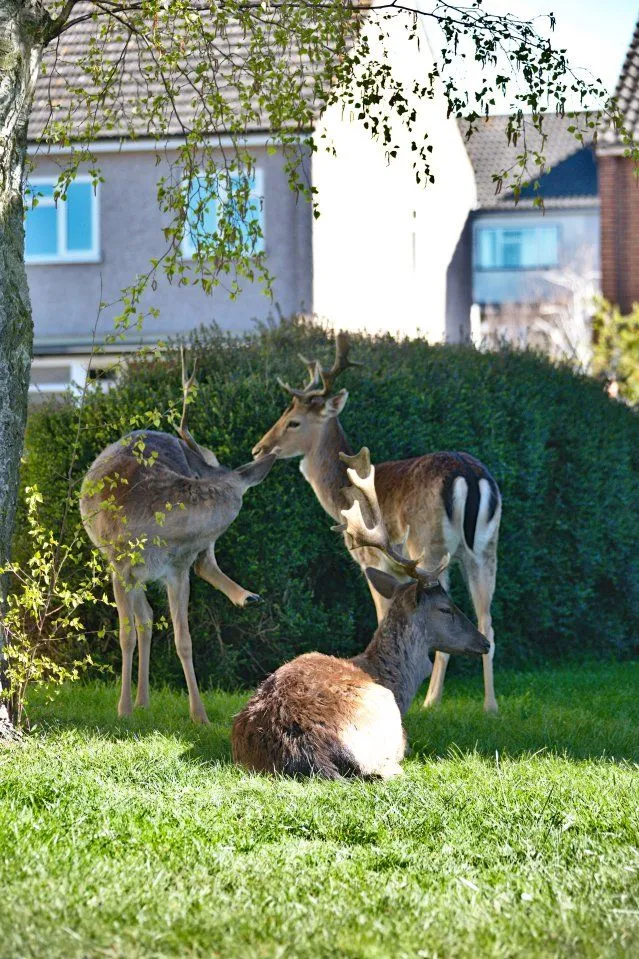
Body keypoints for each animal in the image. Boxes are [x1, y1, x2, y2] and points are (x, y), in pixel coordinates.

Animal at [80, 350, 276, 720]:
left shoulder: (177, 569)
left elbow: (184, 640)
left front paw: (199, 714)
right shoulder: (120, 565)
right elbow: (126, 633)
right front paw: (122, 709)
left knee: (190, 577)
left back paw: (245, 596)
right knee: (144, 619)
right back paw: (138, 702)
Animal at [252, 332, 502, 712]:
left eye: (293, 421)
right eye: (285, 412)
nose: (259, 448)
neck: (341, 495)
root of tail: (469, 475)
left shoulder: (370, 557)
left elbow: (386, 615)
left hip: (429, 544)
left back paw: (432, 701)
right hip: (487, 548)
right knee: (487, 621)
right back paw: (490, 706)